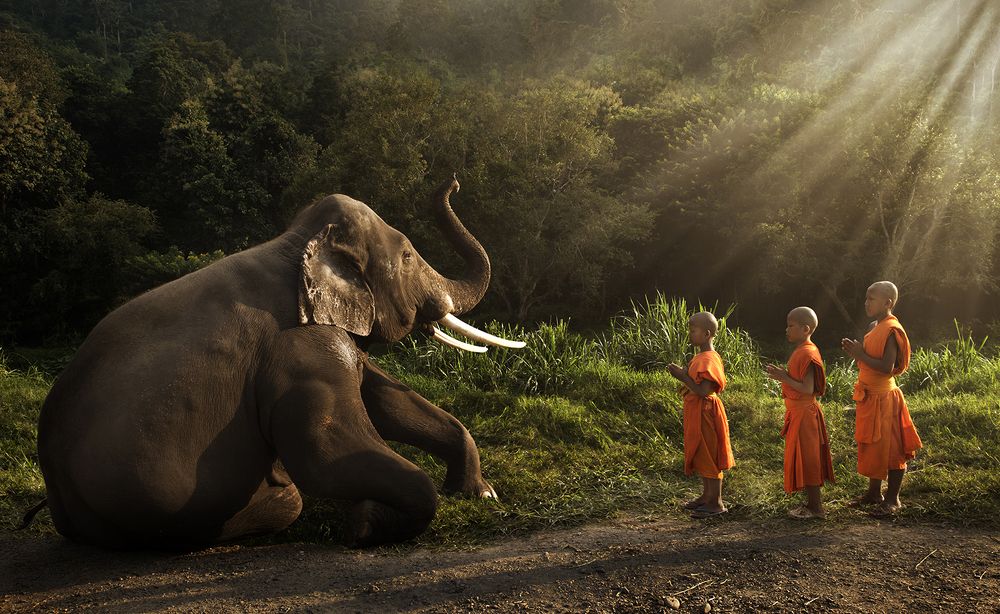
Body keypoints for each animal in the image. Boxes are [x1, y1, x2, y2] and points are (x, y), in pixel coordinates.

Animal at [36, 176, 523, 549]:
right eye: (406, 256)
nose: (453, 181)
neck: (297, 244)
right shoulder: (299, 349)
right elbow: (324, 452)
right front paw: (365, 525)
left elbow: (386, 400)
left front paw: (482, 495)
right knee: (290, 500)